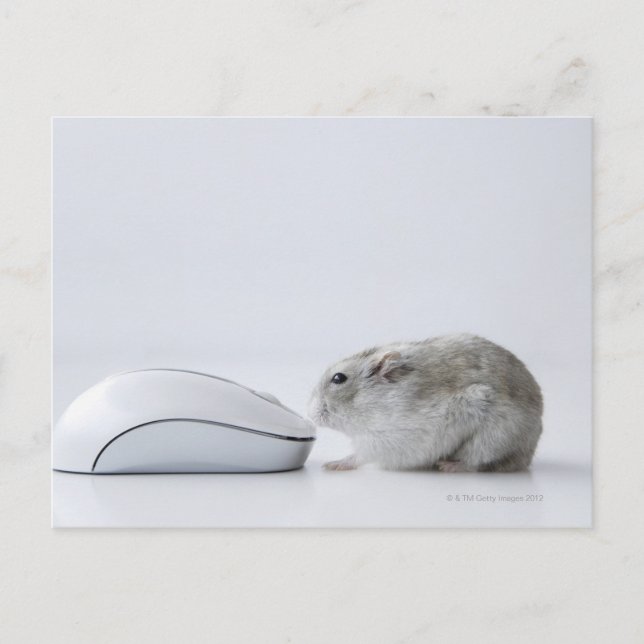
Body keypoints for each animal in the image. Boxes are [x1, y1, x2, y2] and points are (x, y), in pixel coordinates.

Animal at [307, 334, 543, 473]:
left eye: (338, 378)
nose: (310, 413)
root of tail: (528, 454)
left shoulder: (385, 441)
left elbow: (359, 456)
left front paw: (332, 465)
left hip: (492, 437)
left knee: (476, 461)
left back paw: (448, 466)